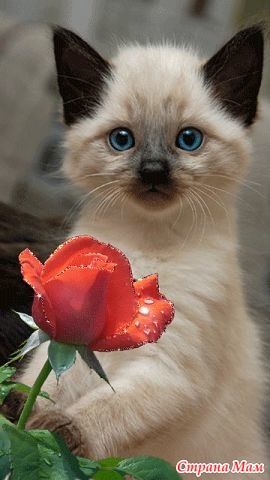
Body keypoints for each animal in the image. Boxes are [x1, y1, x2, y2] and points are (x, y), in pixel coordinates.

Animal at [19, 24, 270, 474]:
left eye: (189, 140)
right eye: (122, 140)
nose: (153, 171)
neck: (147, 240)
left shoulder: (168, 370)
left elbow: (105, 407)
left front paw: (52, 431)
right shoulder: (68, 337)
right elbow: (43, 383)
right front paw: (20, 412)